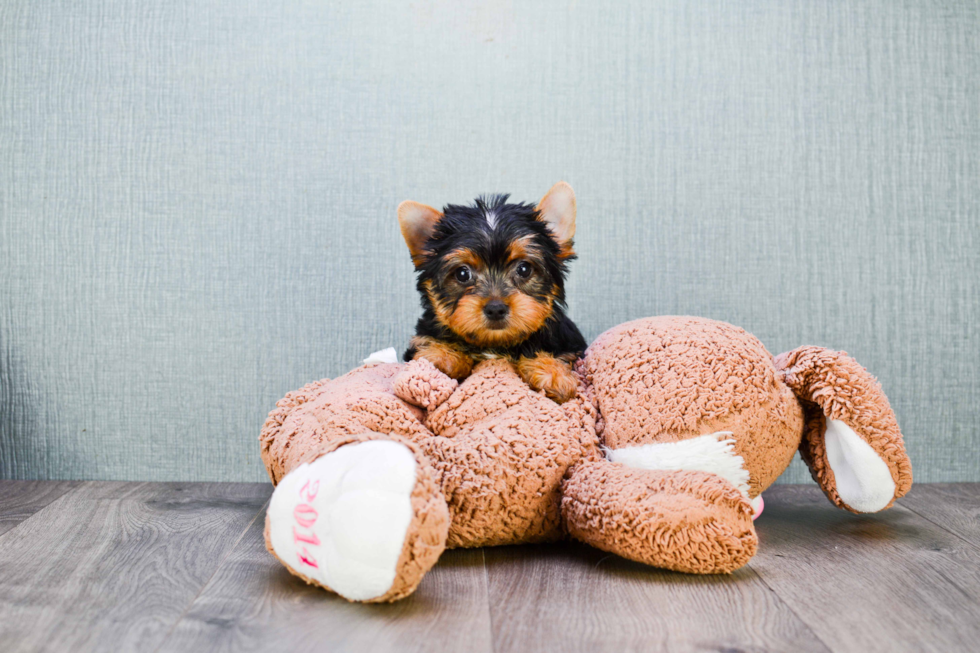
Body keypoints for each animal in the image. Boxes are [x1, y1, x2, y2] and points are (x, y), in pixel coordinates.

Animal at [396, 181, 584, 400]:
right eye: (462, 274)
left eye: (524, 269)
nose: (495, 309)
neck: (494, 345)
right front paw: (442, 355)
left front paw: (551, 372)